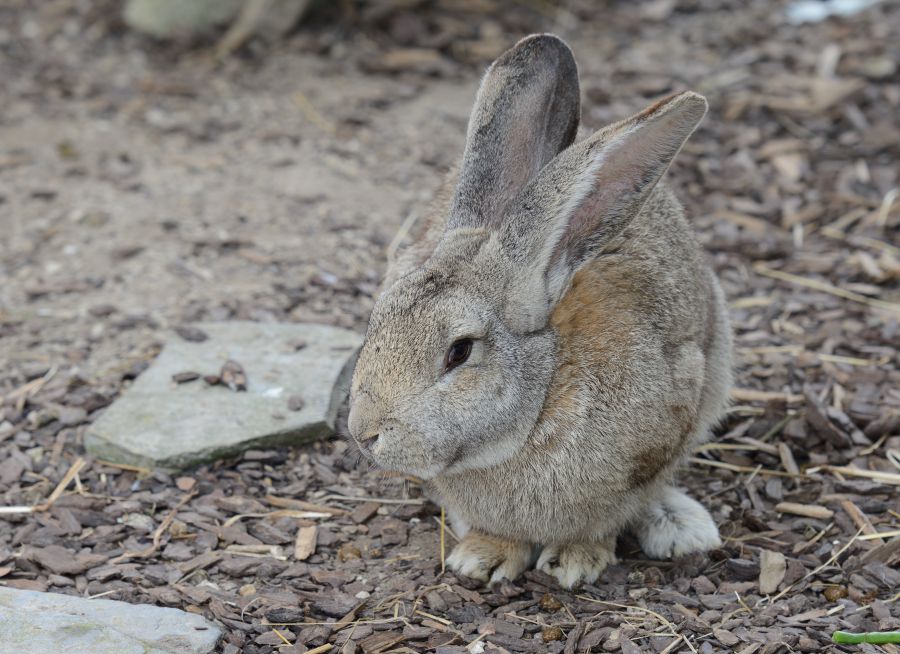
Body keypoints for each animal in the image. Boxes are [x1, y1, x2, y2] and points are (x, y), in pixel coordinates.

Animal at [344, 33, 732, 592]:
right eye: (376, 321)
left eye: (459, 352)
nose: (364, 433)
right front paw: (482, 558)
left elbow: (607, 517)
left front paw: (575, 560)